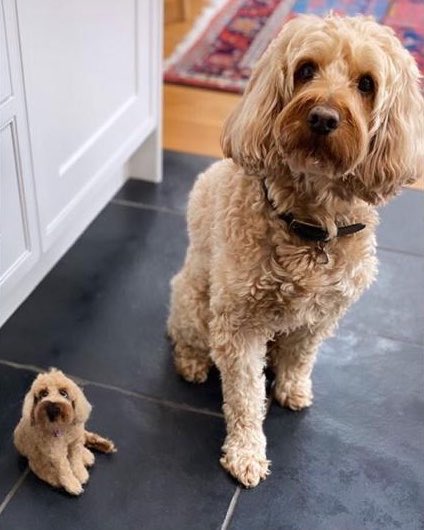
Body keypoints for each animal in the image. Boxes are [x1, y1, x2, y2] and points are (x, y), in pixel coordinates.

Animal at [167, 14, 422, 486]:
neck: (311, 224)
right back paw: (192, 363)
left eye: (367, 83)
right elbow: (245, 395)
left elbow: (301, 356)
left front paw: (292, 388)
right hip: (193, 301)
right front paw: (247, 452)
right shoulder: (238, 325)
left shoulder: (323, 313)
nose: (322, 117)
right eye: (305, 70)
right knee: (188, 336)